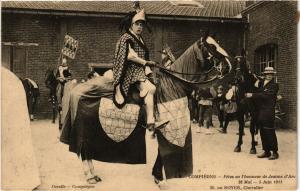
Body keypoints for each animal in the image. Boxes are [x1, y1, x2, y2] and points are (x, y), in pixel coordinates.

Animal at [59, 32, 232, 186]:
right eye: (212, 46)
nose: (228, 66)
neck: (174, 85)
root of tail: (77, 92)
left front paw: (156, 176)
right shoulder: (168, 127)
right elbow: (163, 152)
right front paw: (159, 178)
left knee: (86, 152)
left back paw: (93, 175)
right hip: (85, 129)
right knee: (83, 150)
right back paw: (89, 176)